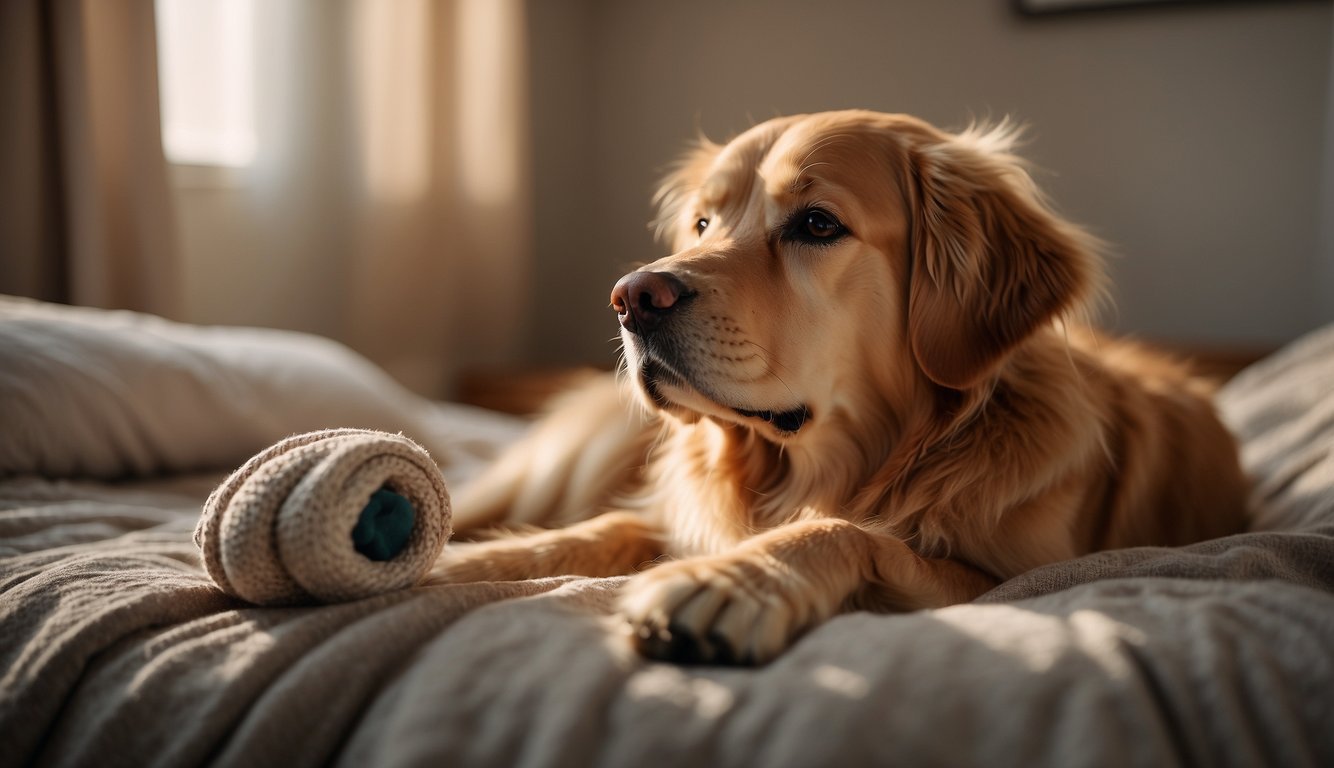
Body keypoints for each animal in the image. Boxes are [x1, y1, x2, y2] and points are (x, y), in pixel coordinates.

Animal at [426, 109, 1248, 666]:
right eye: (703, 224)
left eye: (817, 224)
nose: (631, 298)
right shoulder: (663, 511)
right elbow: (589, 534)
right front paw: (451, 567)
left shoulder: (1012, 578)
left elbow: (851, 529)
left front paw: (732, 580)